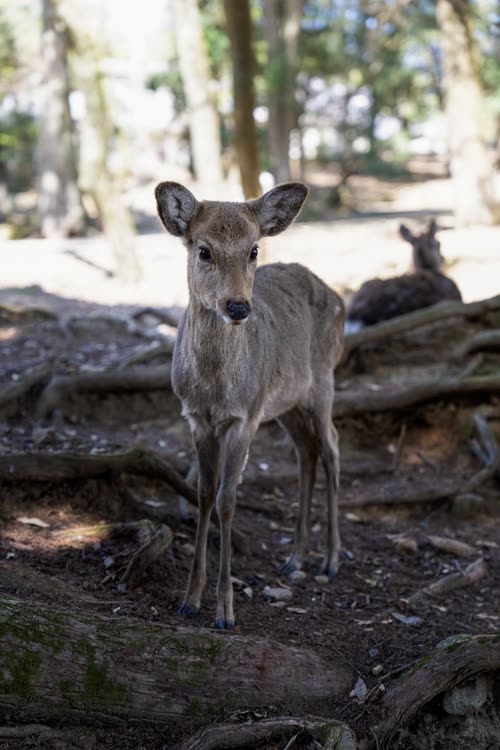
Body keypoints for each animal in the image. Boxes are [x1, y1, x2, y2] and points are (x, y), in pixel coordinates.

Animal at [155, 181, 345, 629]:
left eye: (254, 249)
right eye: (203, 250)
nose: (238, 306)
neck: (215, 389)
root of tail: (340, 299)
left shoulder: (245, 417)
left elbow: (228, 500)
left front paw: (225, 611)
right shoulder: (196, 418)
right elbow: (204, 494)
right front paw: (189, 598)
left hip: (323, 380)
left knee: (331, 446)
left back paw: (330, 559)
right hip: (287, 403)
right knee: (307, 453)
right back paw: (294, 558)